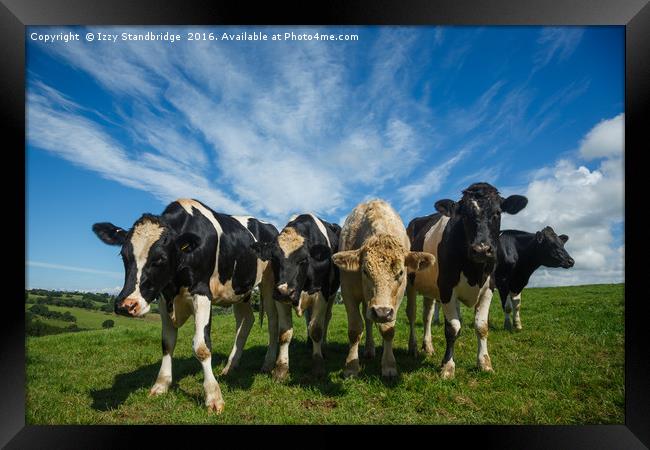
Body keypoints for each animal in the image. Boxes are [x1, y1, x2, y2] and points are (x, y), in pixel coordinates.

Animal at [93, 199, 278, 414]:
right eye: (124, 256)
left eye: (160, 259)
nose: (126, 305)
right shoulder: (163, 297)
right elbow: (167, 343)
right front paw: (161, 384)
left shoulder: (202, 293)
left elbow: (201, 347)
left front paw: (213, 396)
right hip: (239, 290)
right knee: (246, 321)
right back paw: (230, 366)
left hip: (269, 284)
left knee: (272, 322)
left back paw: (268, 364)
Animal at [249, 213, 340, 378]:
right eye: (274, 258)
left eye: (303, 259)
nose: (286, 291)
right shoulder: (279, 297)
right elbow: (284, 333)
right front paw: (281, 368)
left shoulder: (322, 294)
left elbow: (316, 329)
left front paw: (318, 365)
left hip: (331, 294)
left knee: (326, 318)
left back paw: (322, 348)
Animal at [332, 199, 432, 378]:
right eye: (365, 271)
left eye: (400, 272)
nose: (381, 312)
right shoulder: (348, 291)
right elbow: (355, 329)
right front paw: (351, 366)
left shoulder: (396, 299)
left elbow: (388, 330)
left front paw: (389, 365)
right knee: (368, 319)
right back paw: (369, 349)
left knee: (411, 314)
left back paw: (412, 346)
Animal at [404, 185, 528, 378]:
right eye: (464, 215)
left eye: (497, 213)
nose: (482, 249)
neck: (474, 271)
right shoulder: (447, 288)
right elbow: (453, 328)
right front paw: (448, 366)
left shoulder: (489, 288)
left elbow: (482, 326)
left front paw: (484, 363)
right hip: (410, 284)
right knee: (411, 314)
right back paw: (413, 347)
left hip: (430, 288)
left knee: (427, 316)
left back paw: (428, 346)